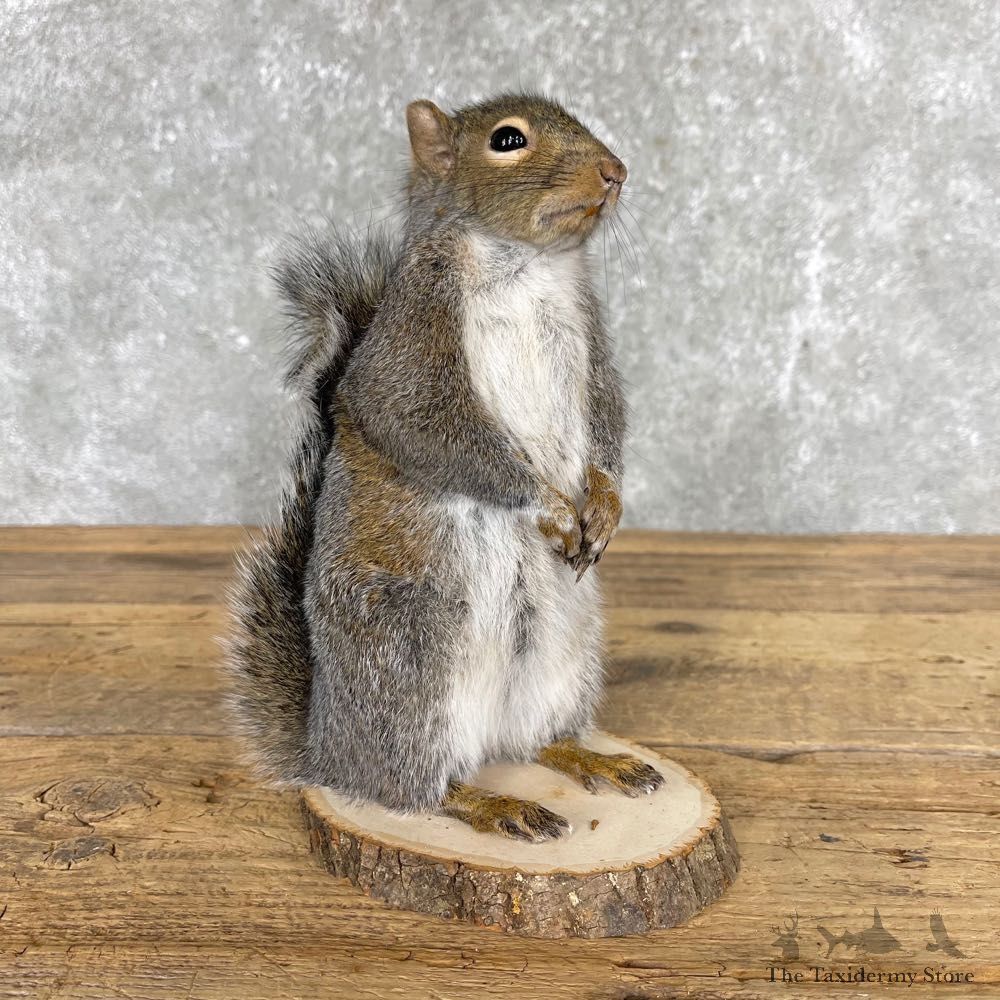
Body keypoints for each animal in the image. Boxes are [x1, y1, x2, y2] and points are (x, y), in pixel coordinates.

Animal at [227, 93, 664, 843]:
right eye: (507, 141)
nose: (615, 170)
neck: (527, 267)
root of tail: (327, 751)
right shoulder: (410, 356)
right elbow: (435, 433)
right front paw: (549, 507)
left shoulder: (595, 349)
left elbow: (608, 423)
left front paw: (604, 505)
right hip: (412, 673)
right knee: (418, 788)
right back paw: (492, 804)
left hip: (563, 652)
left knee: (536, 740)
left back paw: (588, 757)